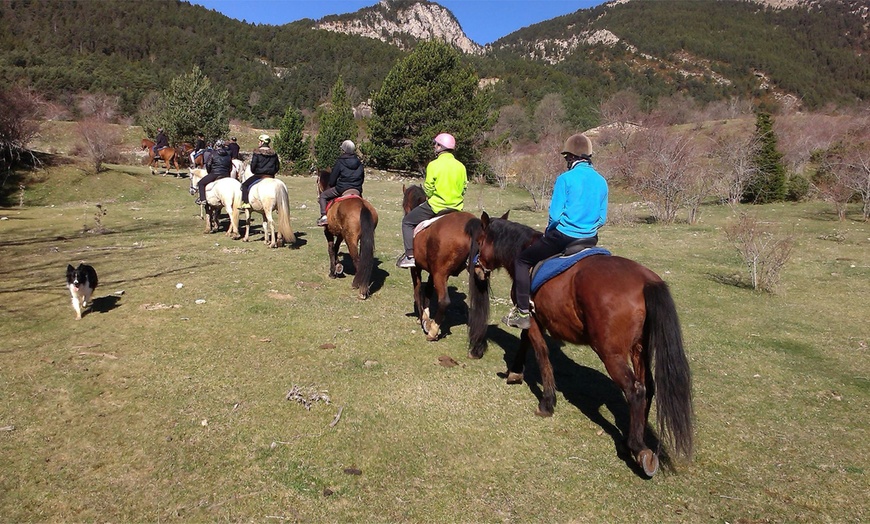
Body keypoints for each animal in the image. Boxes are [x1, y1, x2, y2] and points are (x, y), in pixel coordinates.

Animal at [316, 169, 378, 298]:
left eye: (317, 181)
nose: (318, 197)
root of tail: (363, 206)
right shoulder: (341, 234)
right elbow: (335, 248)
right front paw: (338, 266)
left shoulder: (328, 232)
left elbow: (331, 249)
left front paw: (333, 272)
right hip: (364, 238)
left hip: (351, 239)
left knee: (358, 261)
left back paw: (357, 285)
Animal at [404, 183, 490, 356]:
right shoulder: (432, 271)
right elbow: (428, 291)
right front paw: (426, 317)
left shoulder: (416, 268)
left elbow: (417, 290)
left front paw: (423, 319)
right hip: (479, 274)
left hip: (441, 274)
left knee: (444, 301)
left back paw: (433, 332)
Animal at [474, 211, 692, 476]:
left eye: (479, 240)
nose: (475, 267)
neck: (523, 249)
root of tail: (645, 281)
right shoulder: (537, 320)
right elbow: (525, 343)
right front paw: (515, 373)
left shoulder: (533, 319)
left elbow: (541, 354)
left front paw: (547, 402)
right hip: (639, 349)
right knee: (648, 387)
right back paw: (633, 437)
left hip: (611, 353)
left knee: (635, 390)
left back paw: (637, 447)